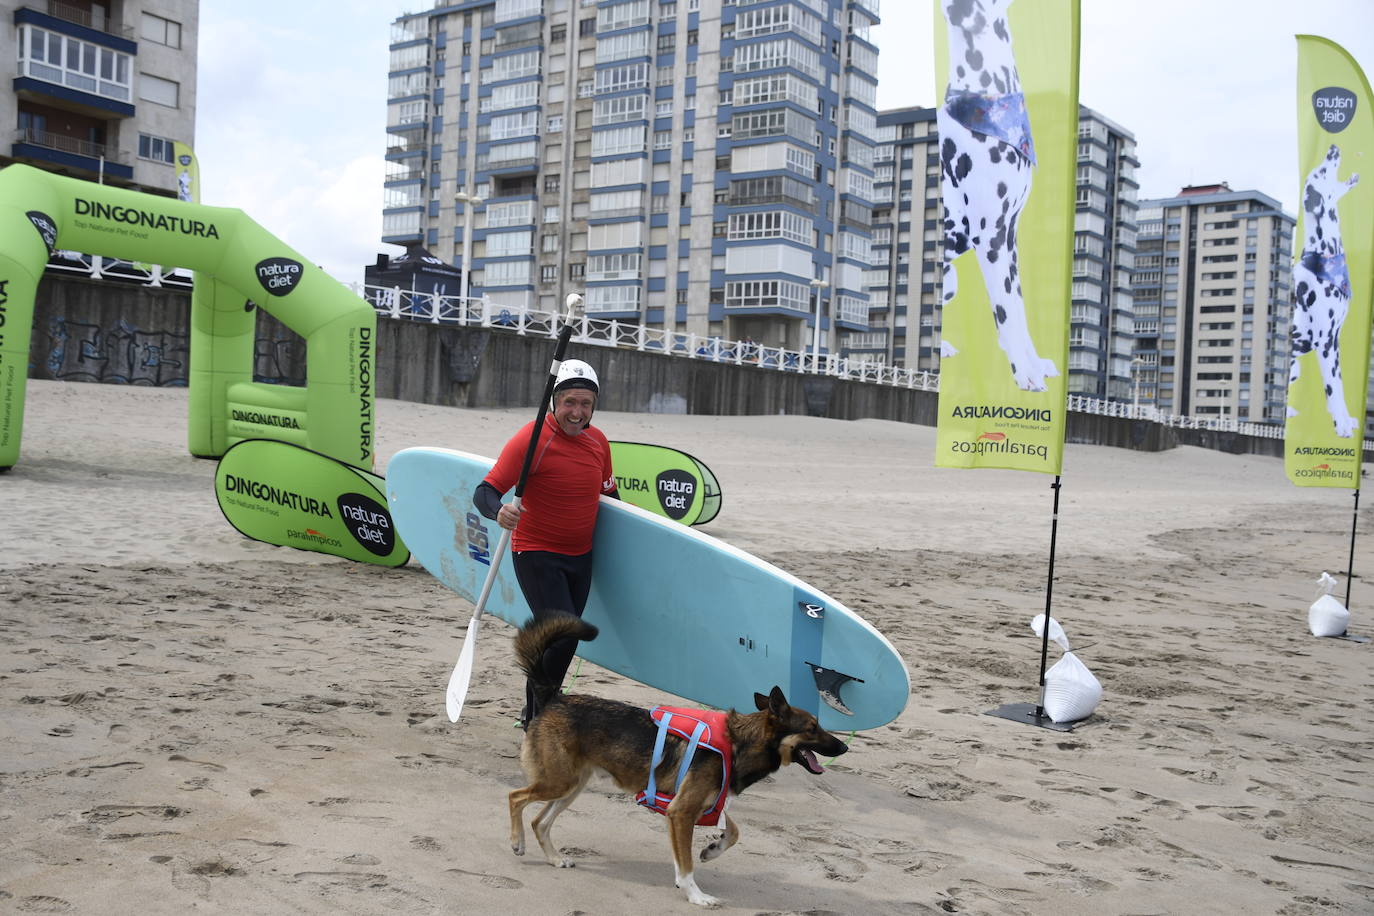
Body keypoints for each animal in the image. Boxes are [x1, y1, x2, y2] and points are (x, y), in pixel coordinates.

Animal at [508, 612, 846, 906]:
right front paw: (696, 895)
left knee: (540, 821)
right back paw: (517, 841)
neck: (738, 742)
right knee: (516, 798)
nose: (844, 747)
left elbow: (734, 832)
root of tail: (555, 698)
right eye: (812, 728)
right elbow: (686, 866)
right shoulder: (681, 813)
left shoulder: (703, 805)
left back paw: (554, 858)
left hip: (572, 786)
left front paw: (712, 850)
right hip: (558, 782)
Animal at [939, 0, 1055, 390]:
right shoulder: (989, 237)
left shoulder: (1009, 237)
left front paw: (1033, 363)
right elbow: (1004, 309)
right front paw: (1024, 373)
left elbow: (1017, 308)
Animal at [1286, 144, 1363, 439]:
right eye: (1320, 171)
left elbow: (1338, 385)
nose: (1332, 147)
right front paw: (1341, 424)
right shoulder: (1325, 341)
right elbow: (1333, 386)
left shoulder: (1336, 339)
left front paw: (1343, 418)